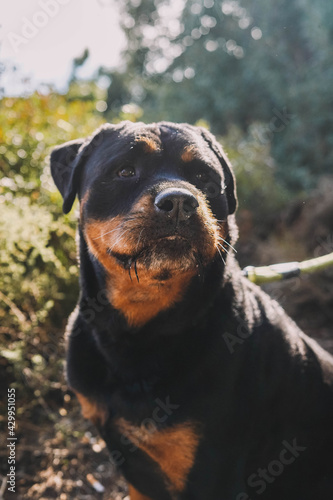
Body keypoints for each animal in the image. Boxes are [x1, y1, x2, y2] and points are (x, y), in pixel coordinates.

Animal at [50, 122, 332, 500]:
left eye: (204, 178)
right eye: (125, 171)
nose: (179, 202)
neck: (141, 333)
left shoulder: (210, 471)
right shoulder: (131, 464)